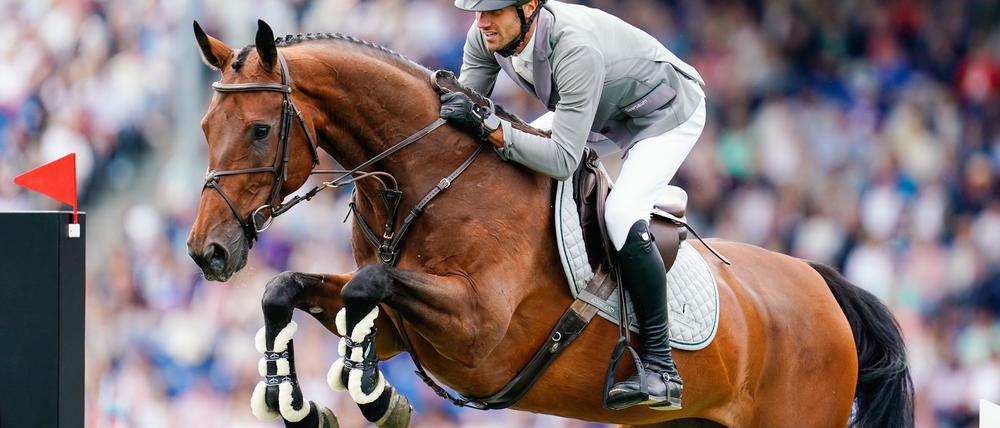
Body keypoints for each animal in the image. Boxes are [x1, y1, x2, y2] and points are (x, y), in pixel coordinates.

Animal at [186, 20, 913, 428]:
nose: (206, 253)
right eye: (204, 126)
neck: (422, 182)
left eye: (258, 130)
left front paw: (371, 396)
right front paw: (295, 403)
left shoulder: (478, 330)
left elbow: (368, 288)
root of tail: (820, 283)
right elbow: (286, 290)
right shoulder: (397, 327)